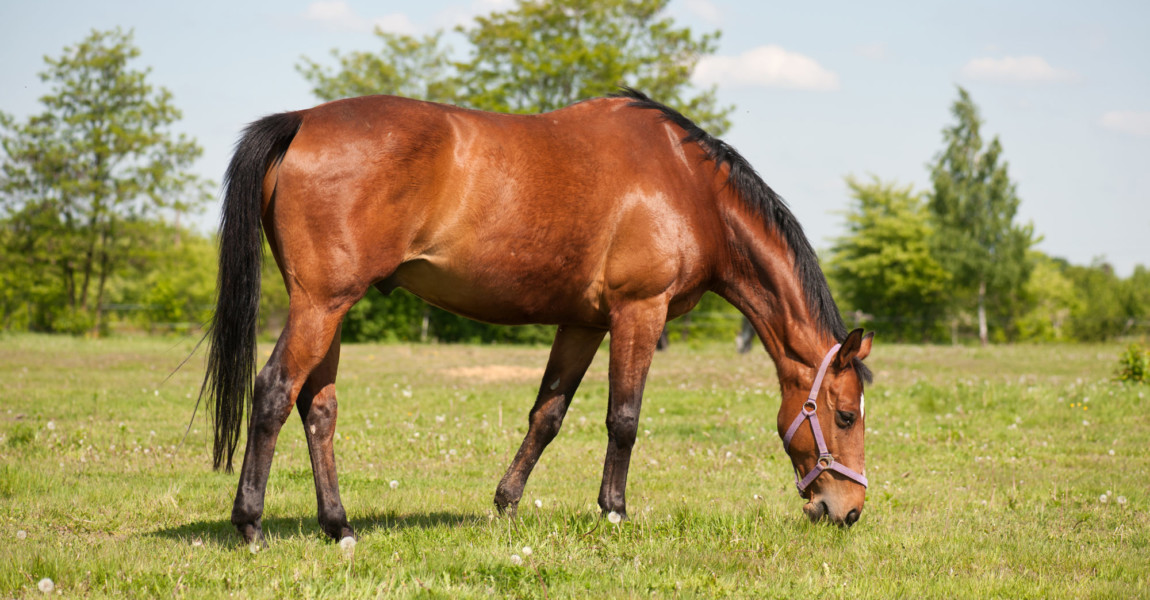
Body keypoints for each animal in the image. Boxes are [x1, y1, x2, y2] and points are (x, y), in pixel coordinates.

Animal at [202, 87, 874, 542]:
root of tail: (301, 122)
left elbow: (547, 415)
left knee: (319, 409)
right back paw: (251, 525)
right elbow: (624, 419)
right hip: (320, 306)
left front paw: (506, 503)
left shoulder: (583, 323)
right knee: (274, 392)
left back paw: (338, 527)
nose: (848, 510)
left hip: (330, 310)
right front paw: (614, 511)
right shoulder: (639, 313)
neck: (687, 186)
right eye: (843, 415)